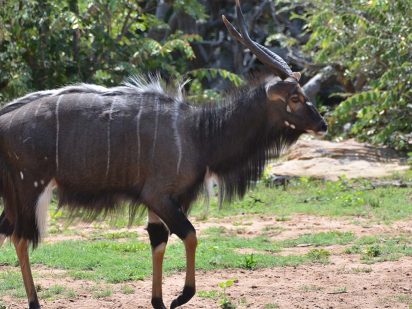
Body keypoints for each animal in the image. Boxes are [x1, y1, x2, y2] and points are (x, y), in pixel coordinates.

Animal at [0, 1, 326, 306]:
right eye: (295, 98)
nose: (322, 124)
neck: (199, 133)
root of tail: (4, 121)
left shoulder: (158, 202)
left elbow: (158, 242)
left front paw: (158, 300)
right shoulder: (159, 196)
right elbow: (190, 235)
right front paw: (180, 296)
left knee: (9, 233)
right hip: (30, 188)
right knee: (20, 237)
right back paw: (34, 302)